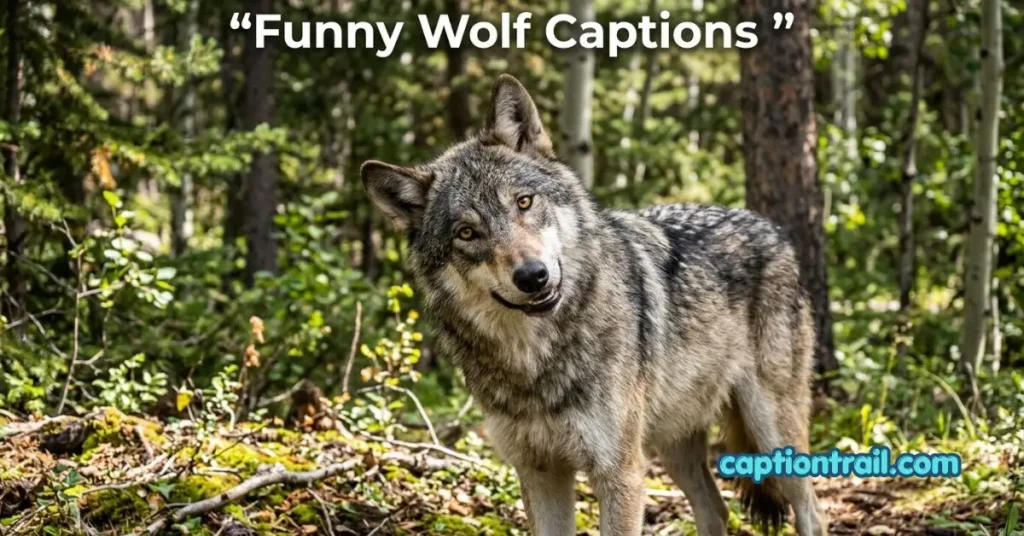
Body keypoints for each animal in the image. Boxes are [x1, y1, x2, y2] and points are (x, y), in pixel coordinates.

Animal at [361, 75, 828, 536]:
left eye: (524, 202)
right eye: (466, 233)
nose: (532, 276)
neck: (536, 362)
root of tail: (771, 227)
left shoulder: (620, 473)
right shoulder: (540, 473)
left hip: (771, 429)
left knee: (812, 511)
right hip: (671, 444)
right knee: (716, 510)